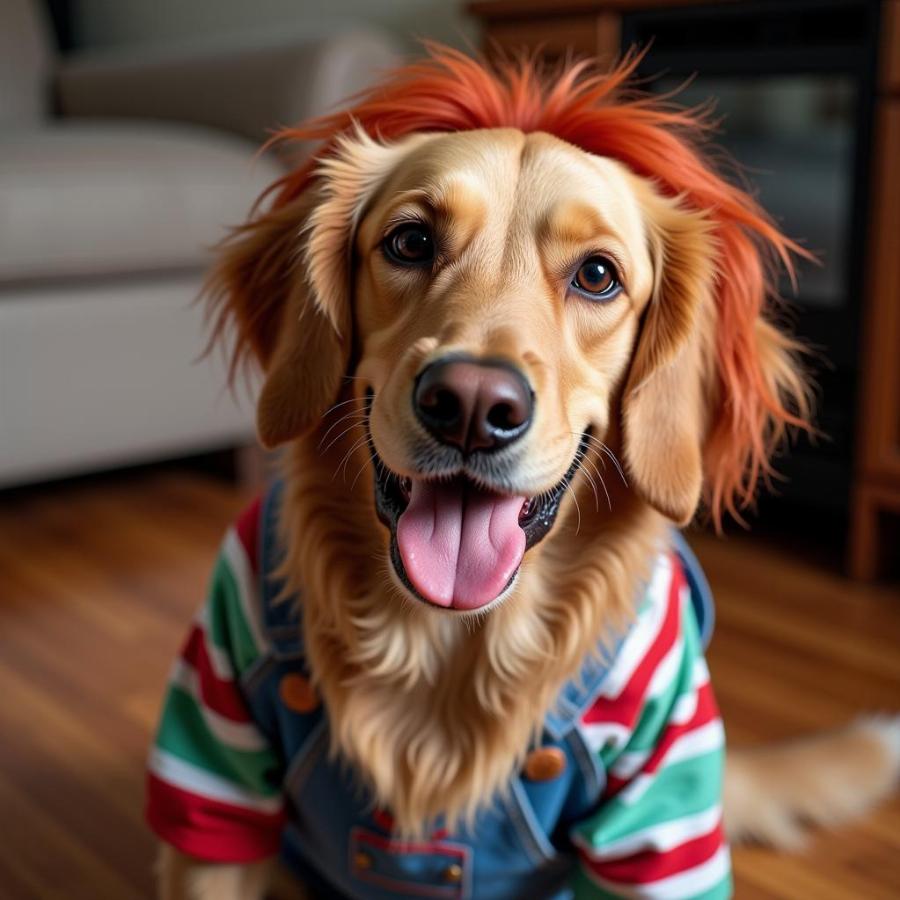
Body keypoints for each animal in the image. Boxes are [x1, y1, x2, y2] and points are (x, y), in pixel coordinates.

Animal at [148, 45, 900, 896]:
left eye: (598, 275)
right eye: (410, 243)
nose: (472, 406)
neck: (446, 635)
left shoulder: (659, 817)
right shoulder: (214, 777)